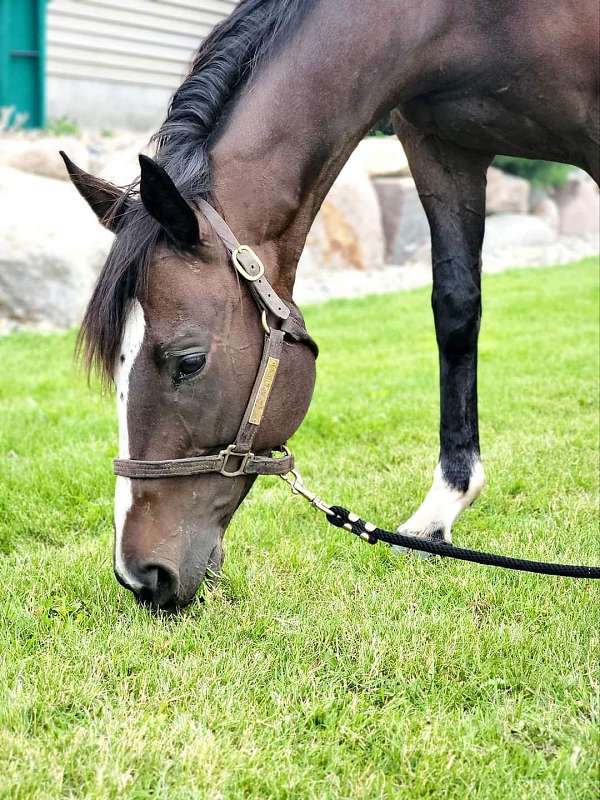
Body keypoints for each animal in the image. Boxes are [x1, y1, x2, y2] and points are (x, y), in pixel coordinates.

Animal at [62, 0, 600, 608]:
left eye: (189, 362)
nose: (140, 575)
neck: (464, 22)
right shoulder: (440, 147)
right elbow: (457, 310)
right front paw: (441, 509)